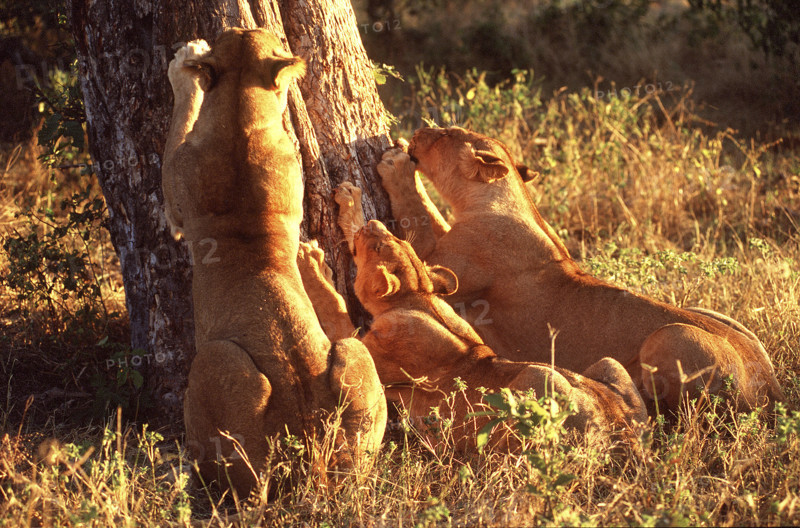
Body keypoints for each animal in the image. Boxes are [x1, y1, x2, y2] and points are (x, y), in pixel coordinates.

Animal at [162, 29, 386, 497]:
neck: (240, 116)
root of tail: (310, 448)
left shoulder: (175, 199)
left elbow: (183, 111)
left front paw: (185, 60)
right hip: (354, 360)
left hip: (215, 359)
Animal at [297, 183, 646, 451]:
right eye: (396, 240)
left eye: (380, 246)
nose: (377, 225)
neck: (417, 299)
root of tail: (624, 433)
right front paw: (350, 200)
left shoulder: (378, 355)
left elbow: (335, 310)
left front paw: (310, 262)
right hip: (608, 365)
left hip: (538, 380)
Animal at [374, 126, 784, 414]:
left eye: (444, 134)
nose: (417, 130)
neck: (502, 201)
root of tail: (772, 388)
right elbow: (430, 213)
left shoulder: (447, 270)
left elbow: (417, 210)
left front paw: (395, 164)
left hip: (672, 336)